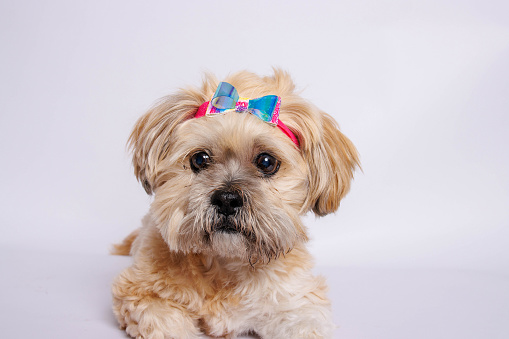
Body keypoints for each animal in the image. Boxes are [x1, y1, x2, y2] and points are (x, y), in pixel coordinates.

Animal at [111, 69, 358, 339]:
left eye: (267, 162)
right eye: (199, 159)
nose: (227, 199)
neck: (226, 265)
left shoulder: (299, 303)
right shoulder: (144, 295)